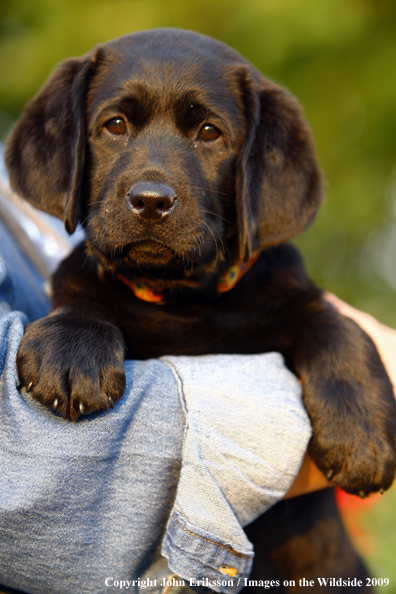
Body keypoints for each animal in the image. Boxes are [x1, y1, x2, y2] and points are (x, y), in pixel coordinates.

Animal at [3, 27, 396, 588]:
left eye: (210, 133)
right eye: (114, 125)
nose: (150, 201)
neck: (185, 298)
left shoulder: (292, 294)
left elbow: (338, 326)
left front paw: (361, 439)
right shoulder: (84, 285)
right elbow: (82, 302)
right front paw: (70, 354)